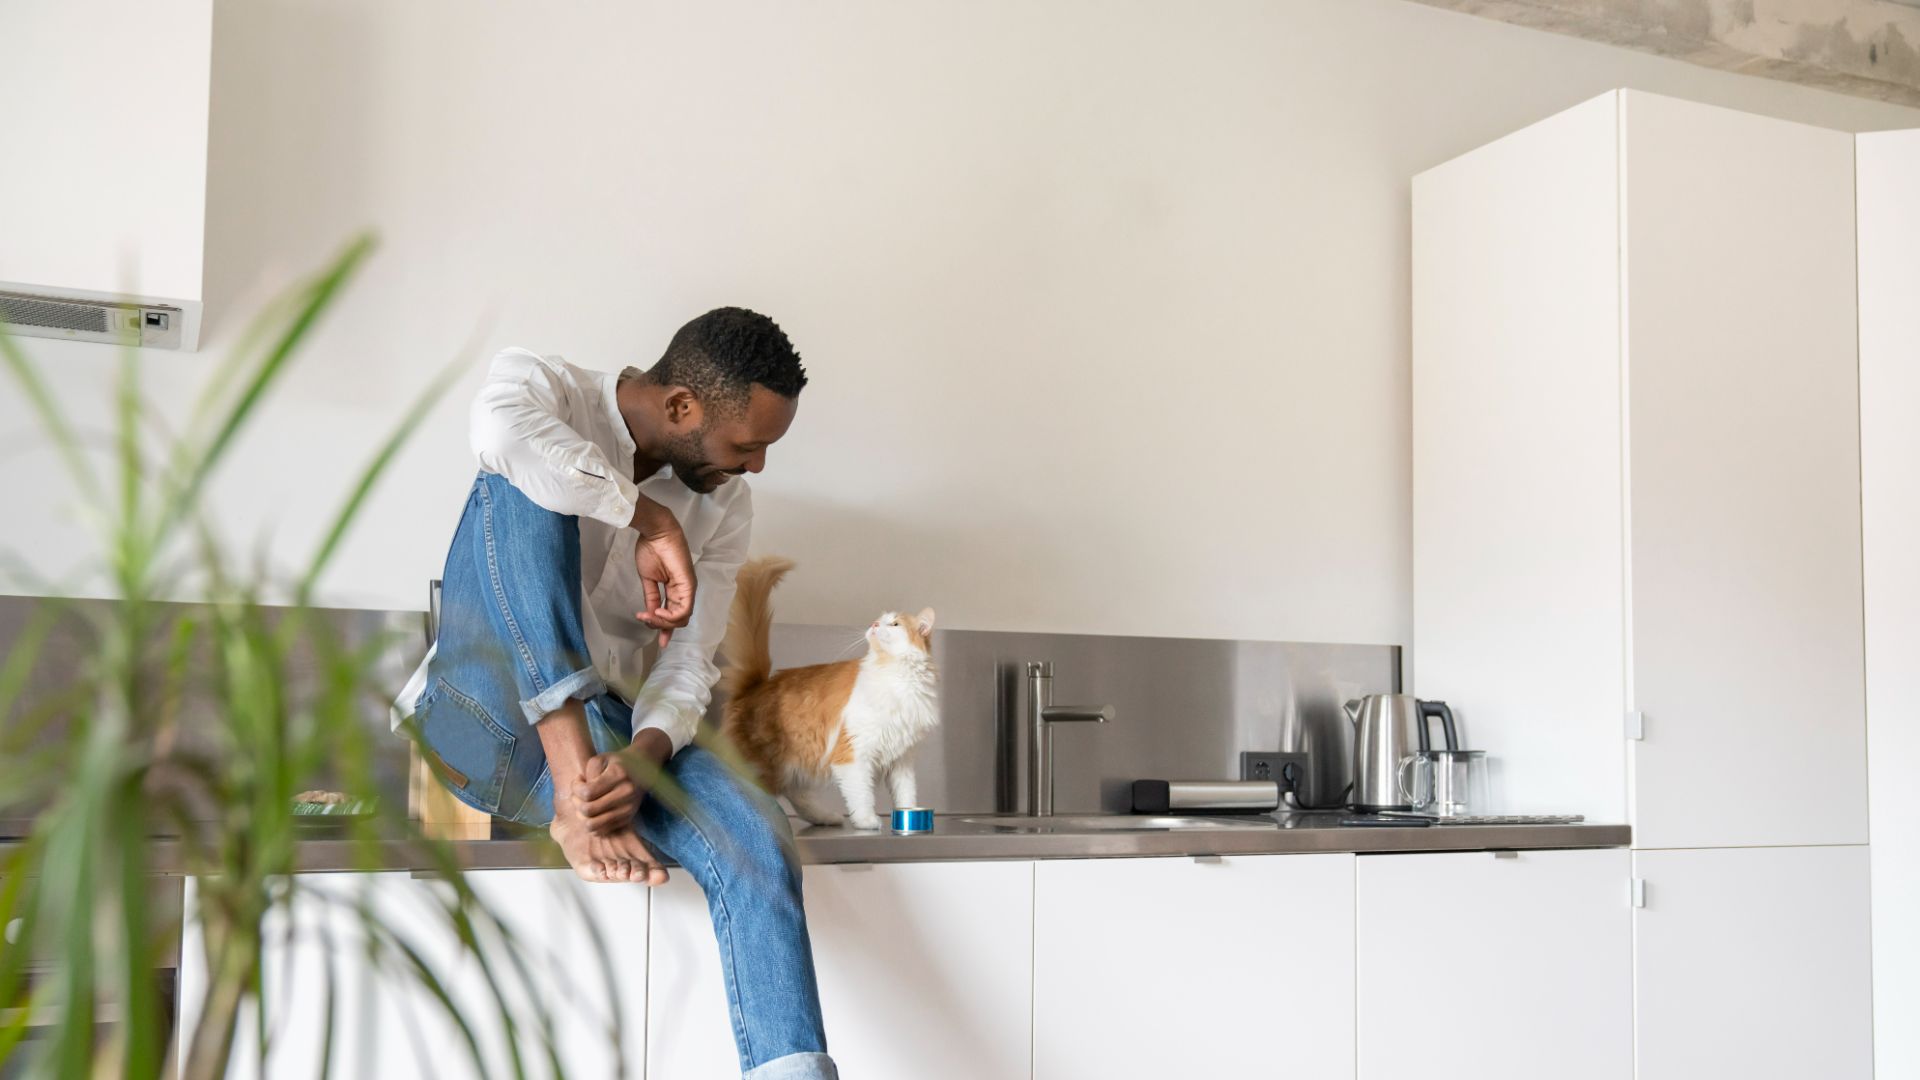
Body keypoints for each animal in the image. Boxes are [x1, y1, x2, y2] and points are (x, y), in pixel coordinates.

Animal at [721, 553, 936, 822]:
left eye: (895, 624)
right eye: (879, 621)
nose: (874, 624)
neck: (894, 675)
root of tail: (755, 685)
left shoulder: (902, 759)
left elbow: (906, 795)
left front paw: (909, 818)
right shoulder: (853, 753)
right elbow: (861, 795)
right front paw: (866, 821)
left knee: (795, 794)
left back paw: (824, 817)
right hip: (763, 765)